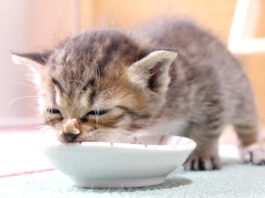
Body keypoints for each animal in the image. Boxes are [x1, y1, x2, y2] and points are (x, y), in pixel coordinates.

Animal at [12, 18, 264, 170]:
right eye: (54, 110)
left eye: (98, 112)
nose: (68, 134)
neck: (157, 119)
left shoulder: (211, 89)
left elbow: (208, 127)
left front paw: (202, 153)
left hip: (238, 86)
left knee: (247, 120)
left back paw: (252, 147)